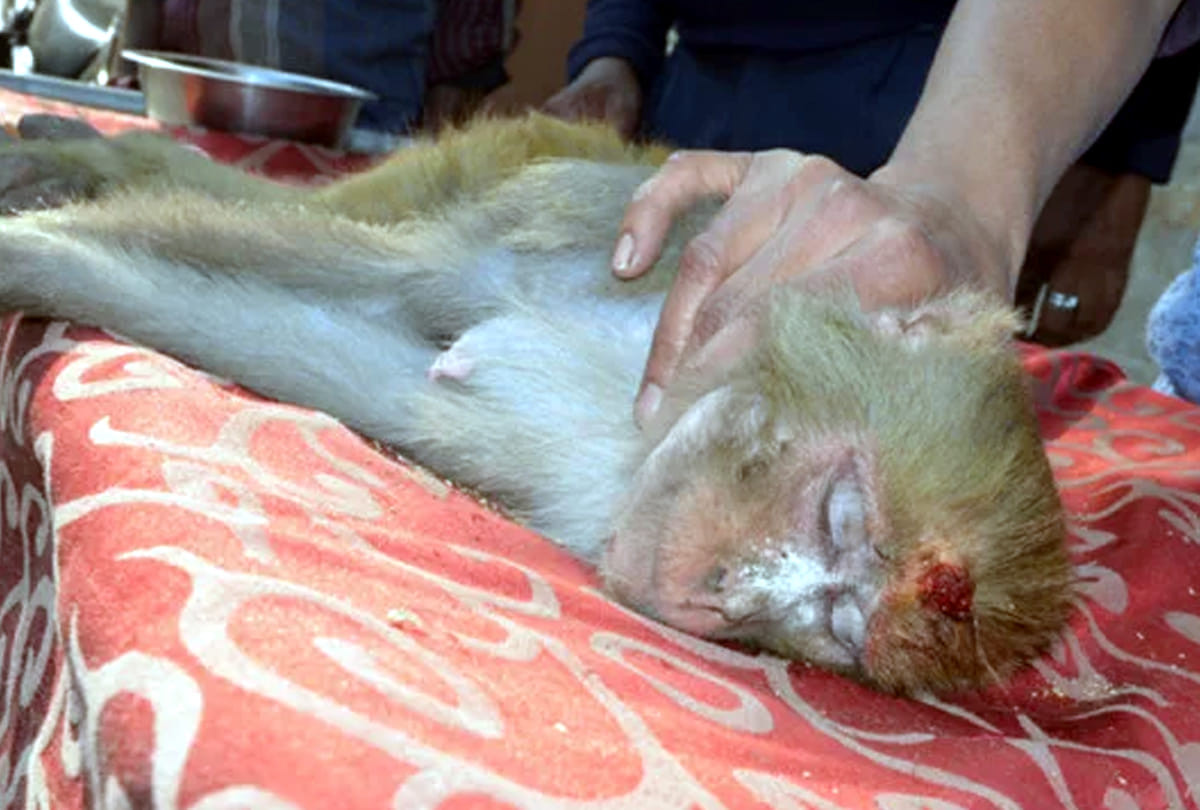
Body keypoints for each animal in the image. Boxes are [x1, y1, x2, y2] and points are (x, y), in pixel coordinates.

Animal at [0, 113, 1071, 696]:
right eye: (840, 514)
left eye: (840, 627)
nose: (725, 594)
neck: (642, 410)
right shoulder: (632, 268)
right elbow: (392, 277)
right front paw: (28, 247)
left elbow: (341, 356)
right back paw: (105, 159)